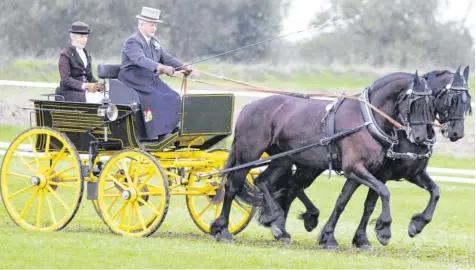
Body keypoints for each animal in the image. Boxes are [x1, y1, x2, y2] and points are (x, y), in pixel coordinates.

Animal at [211, 70, 436, 244]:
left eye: (430, 103)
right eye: (414, 102)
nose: (420, 138)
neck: (366, 120)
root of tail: (249, 107)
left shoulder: (362, 172)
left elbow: (344, 201)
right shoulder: (356, 168)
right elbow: (384, 191)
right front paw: (384, 229)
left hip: (283, 159)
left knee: (264, 182)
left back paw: (278, 224)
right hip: (248, 155)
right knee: (232, 186)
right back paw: (223, 229)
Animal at [264, 66, 472, 249]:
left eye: (467, 101)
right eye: (453, 100)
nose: (457, 133)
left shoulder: (413, 173)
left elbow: (435, 192)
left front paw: (416, 224)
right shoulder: (379, 173)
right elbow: (370, 201)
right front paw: (375, 232)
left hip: (307, 165)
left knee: (291, 188)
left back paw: (289, 223)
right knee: (289, 187)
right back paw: (283, 223)